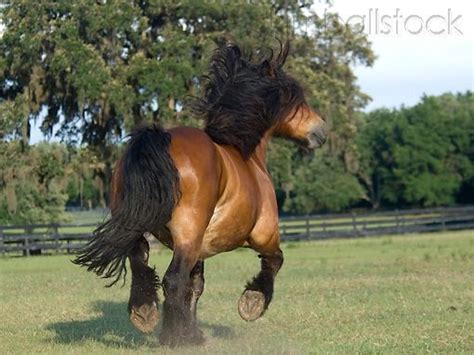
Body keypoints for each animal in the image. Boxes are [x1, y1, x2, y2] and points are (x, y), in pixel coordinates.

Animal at [74, 40, 328, 346]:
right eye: (297, 99)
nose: (322, 130)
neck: (246, 156)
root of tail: (160, 139)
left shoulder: (201, 249)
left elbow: (195, 286)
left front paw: (194, 330)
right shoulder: (263, 234)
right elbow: (275, 260)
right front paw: (251, 303)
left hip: (137, 224)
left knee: (141, 258)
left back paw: (145, 314)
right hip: (188, 233)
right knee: (172, 278)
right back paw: (173, 337)